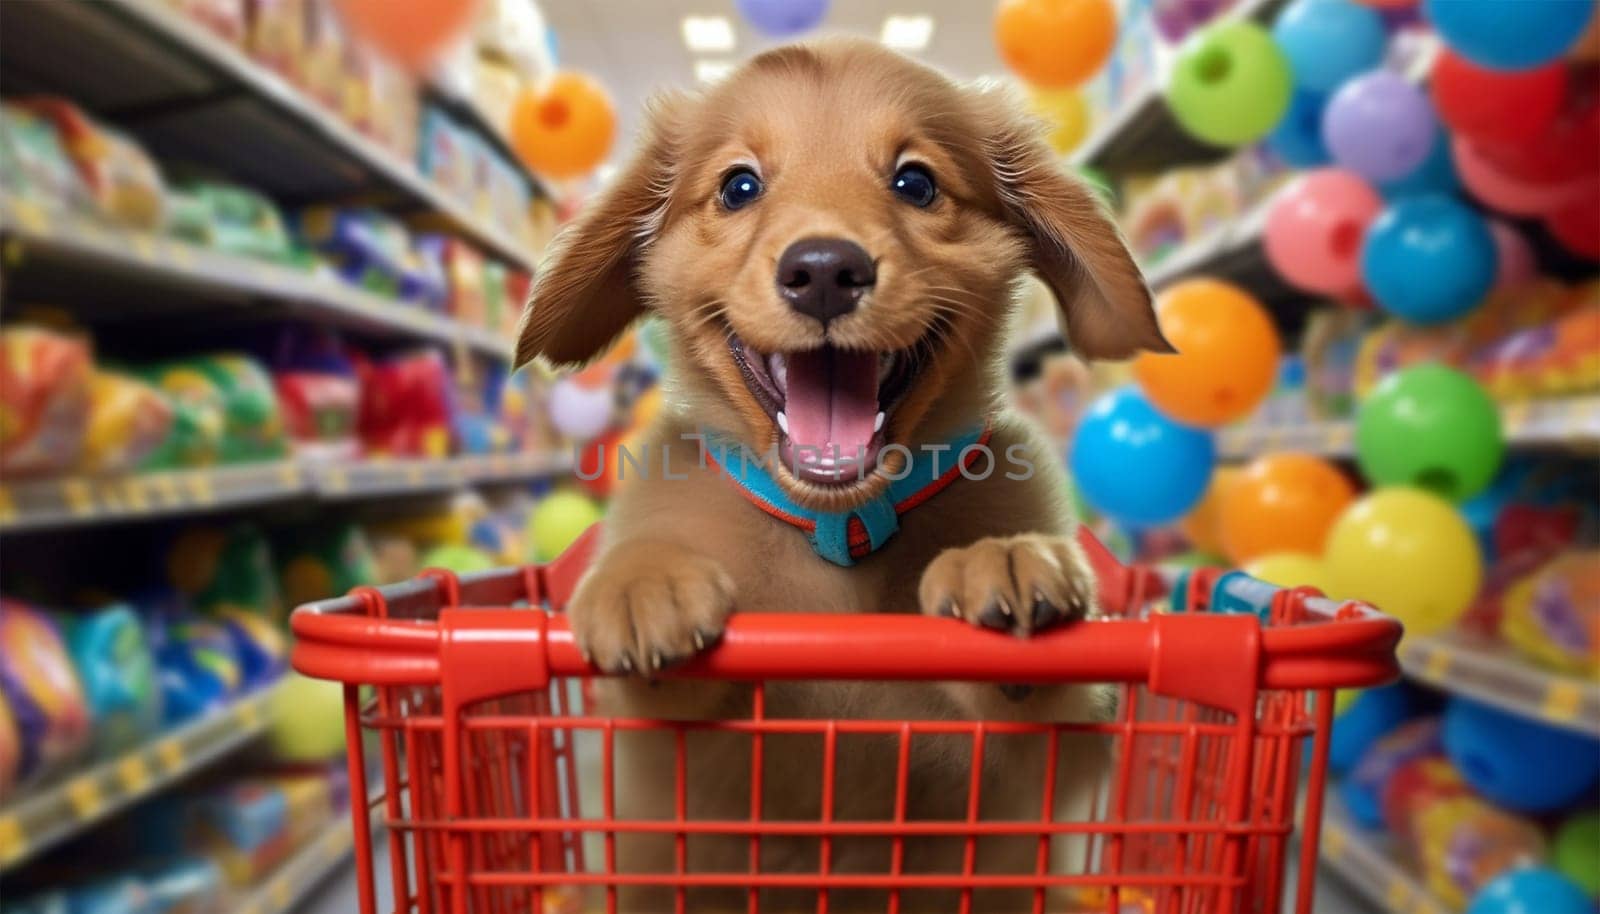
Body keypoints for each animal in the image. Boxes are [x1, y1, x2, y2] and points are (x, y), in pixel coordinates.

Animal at [518, 37, 1171, 914]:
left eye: (915, 182)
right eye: (739, 186)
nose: (825, 270)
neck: (840, 533)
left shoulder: (1040, 742)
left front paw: (1004, 557)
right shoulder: (665, 738)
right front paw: (641, 584)